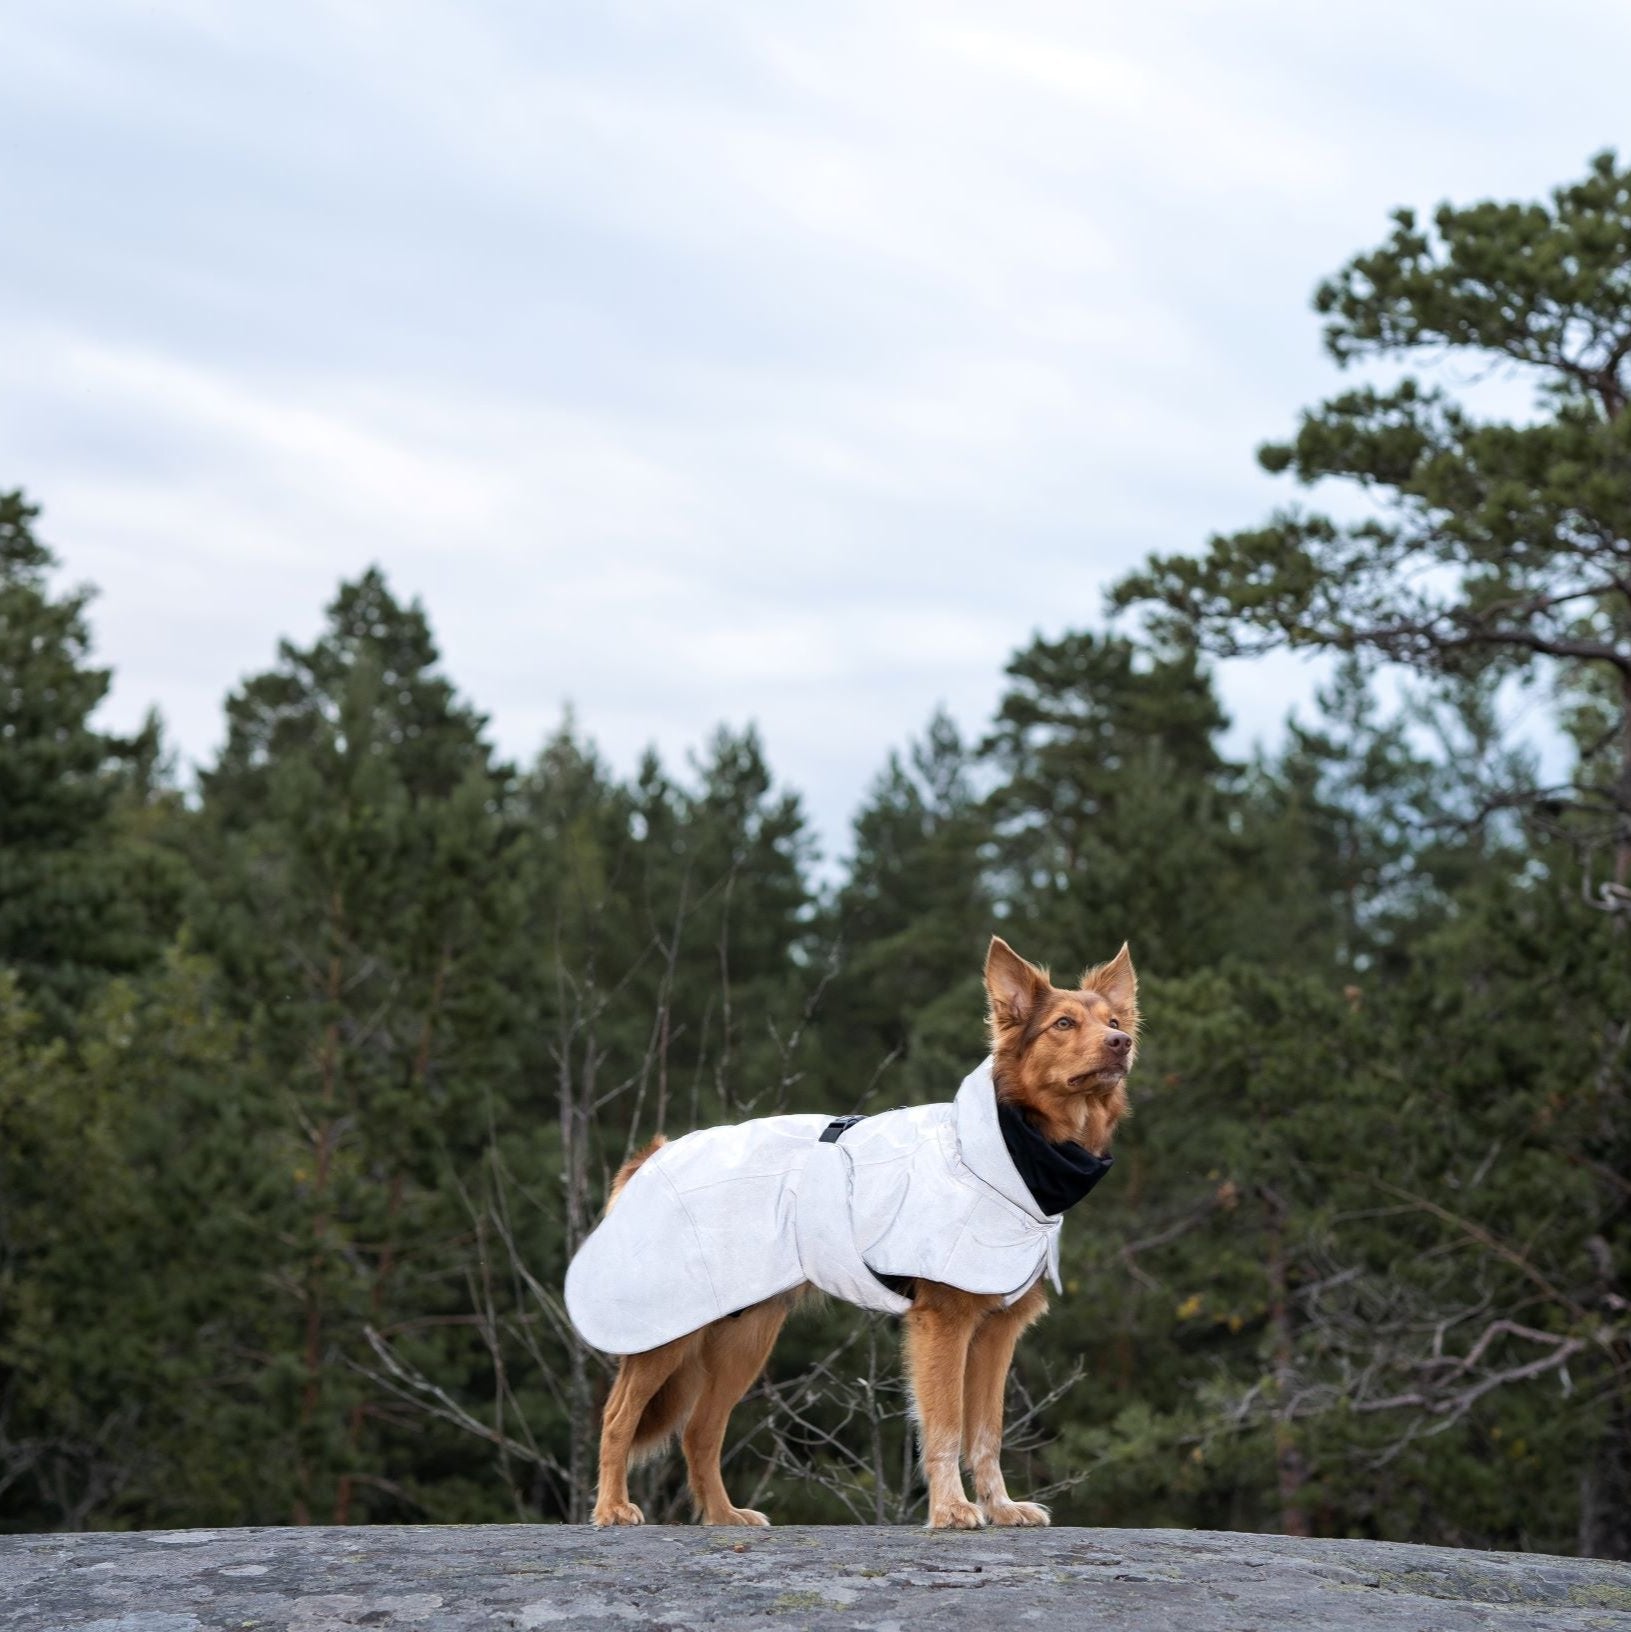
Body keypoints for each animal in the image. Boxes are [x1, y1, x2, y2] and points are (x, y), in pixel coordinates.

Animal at [568, 940, 1142, 1521]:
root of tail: (651, 1155)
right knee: (617, 1419)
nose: (1122, 1043)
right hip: (666, 1330)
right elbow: (946, 1426)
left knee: (700, 1432)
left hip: (744, 1337)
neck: (1013, 1151)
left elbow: (986, 1432)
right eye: (1063, 1023)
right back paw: (613, 1507)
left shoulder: (996, 1331)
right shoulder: (945, 1322)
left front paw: (1000, 1507)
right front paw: (951, 1510)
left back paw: (725, 1516)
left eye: (1114, 1022)